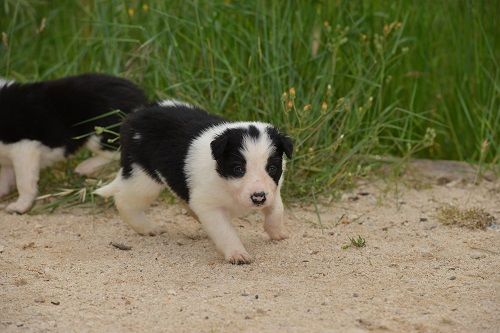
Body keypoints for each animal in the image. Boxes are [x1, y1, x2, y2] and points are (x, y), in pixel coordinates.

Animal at [0, 73, 147, 213]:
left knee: (115, 153)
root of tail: (139, 96)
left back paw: (85, 166)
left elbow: (23, 182)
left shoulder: (24, 148)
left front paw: (20, 206)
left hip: (101, 134)